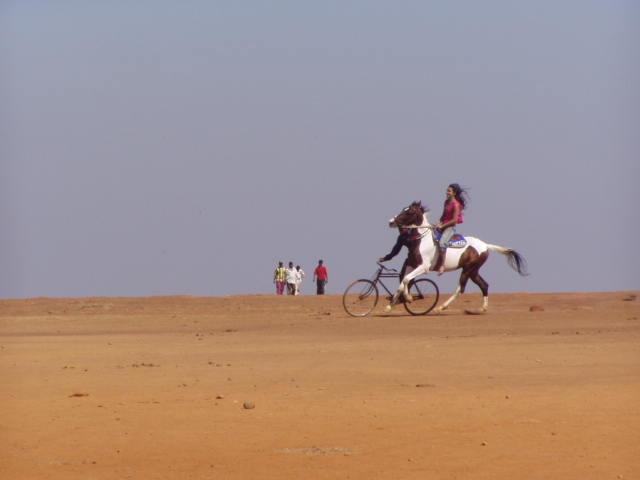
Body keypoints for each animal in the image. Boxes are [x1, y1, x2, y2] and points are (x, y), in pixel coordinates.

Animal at [382, 201, 528, 314]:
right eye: (403, 209)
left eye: (409, 212)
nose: (391, 221)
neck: (422, 240)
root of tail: (485, 245)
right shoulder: (411, 265)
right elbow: (402, 283)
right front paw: (389, 306)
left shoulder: (424, 267)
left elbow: (406, 280)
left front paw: (409, 298)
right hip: (473, 271)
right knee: (484, 285)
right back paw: (482, 308)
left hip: (467, 270)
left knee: (460, 289)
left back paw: (440, 307)